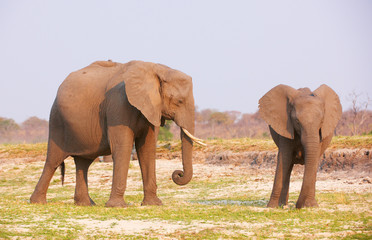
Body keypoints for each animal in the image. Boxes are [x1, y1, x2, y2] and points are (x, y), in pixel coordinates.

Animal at [29, 59, 203, 206]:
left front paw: (153, 204)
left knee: (83, 163)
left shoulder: (152, 108)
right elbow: (122, 148)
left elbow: (146, 149)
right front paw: (117, 206)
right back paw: (37, 202)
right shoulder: (118, 104)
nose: (177, 174)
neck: (156, 68)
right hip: (57, 121)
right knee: (53, 161)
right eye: (179, 101)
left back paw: (86, 204)